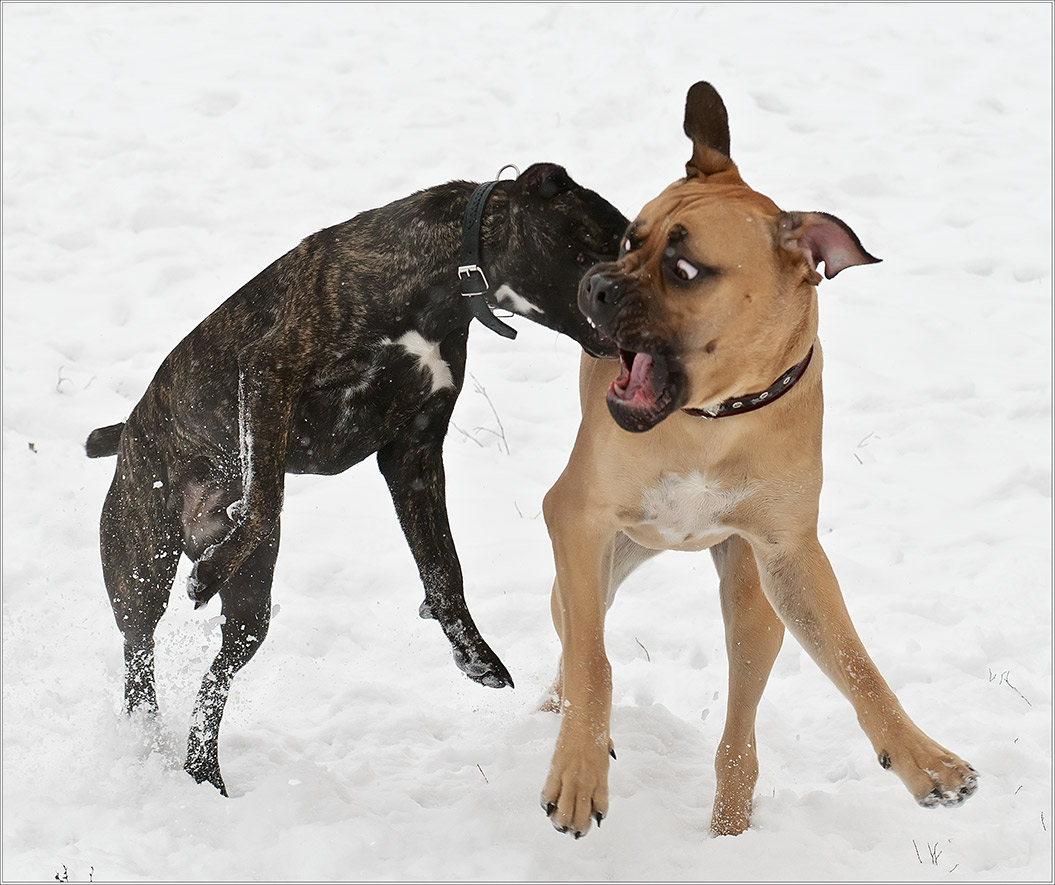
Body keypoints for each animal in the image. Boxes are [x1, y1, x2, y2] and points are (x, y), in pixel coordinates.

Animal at [86, 164, 624, 797]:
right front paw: (211, 570)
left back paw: (202, 768)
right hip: (140, 565)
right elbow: (265, 495)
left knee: (217, 677)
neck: (447, 283)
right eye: (606, 243)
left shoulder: (413, 453)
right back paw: (146, 726)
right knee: (138, 649)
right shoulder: (270, 374)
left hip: (250, 608)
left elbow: (444, 566)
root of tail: (128, 432)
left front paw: (475, 654)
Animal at [540, 81, 974, 839]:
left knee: (740, 726)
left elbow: (857, 664)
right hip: (604, 559)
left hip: (752, 597)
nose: (593, 284)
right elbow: (594, 661)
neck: (714, 419)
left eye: (684, 269)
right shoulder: (575, 517)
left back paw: (730, 829)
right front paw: (578, 769)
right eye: (629, 238)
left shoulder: (789, 555)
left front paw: (924, 760)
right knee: (576, 631)